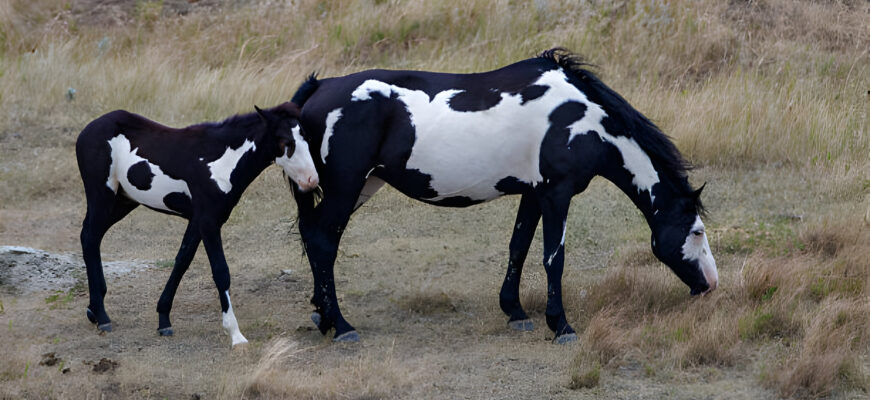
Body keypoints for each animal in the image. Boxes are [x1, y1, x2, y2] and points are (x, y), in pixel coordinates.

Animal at [76, 101, 320, 346]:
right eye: (285, 142)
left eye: (307, 137)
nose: (312, 180)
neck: (220, 161)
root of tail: (87, 130)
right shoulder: (209, 222)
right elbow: (221, 271)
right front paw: (235, 335)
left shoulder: (197, 220)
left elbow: (182, 261)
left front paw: (164, 319)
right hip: (102, 196)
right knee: (90, 237)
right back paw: (102, 316)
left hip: (123, 201)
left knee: (91, 237)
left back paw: (93, 310)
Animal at [292, 49, 724, 344]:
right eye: (697, 232)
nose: (710, 285)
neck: (579, 117)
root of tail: (318, 88)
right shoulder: (557, 194)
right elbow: (553, 259)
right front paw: (560, 325)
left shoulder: (533, 194)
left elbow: (519, 246)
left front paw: (514, 311)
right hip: (347, 187)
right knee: (323, 241)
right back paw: (341, 326)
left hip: (359, 187)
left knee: (315, 238)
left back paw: (321, 313)